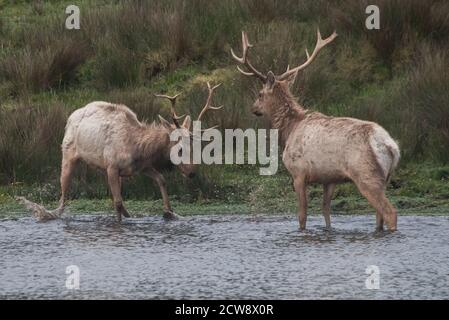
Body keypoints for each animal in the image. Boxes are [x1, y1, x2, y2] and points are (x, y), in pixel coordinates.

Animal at [18, 82, 222, 222]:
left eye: (195, 147)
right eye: (179, 149)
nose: (192, 173)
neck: (138, 148)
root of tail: (70, 117)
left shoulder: (140, 167)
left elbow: (161, 180)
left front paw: (169, 212)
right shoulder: (112, 167)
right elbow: (117, 203)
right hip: (68, 155)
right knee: (63, 196)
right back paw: (46, 212)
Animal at [231, 29, 400, 230]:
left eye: (260, 94)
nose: (253, 109)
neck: (289, 131)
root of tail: (391, 147)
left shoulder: (298, 172)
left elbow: (302, 215)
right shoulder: (330, 178)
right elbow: (326, 212)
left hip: (366, 173)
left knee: (389, 211)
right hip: (385, 178)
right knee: (379, 215)